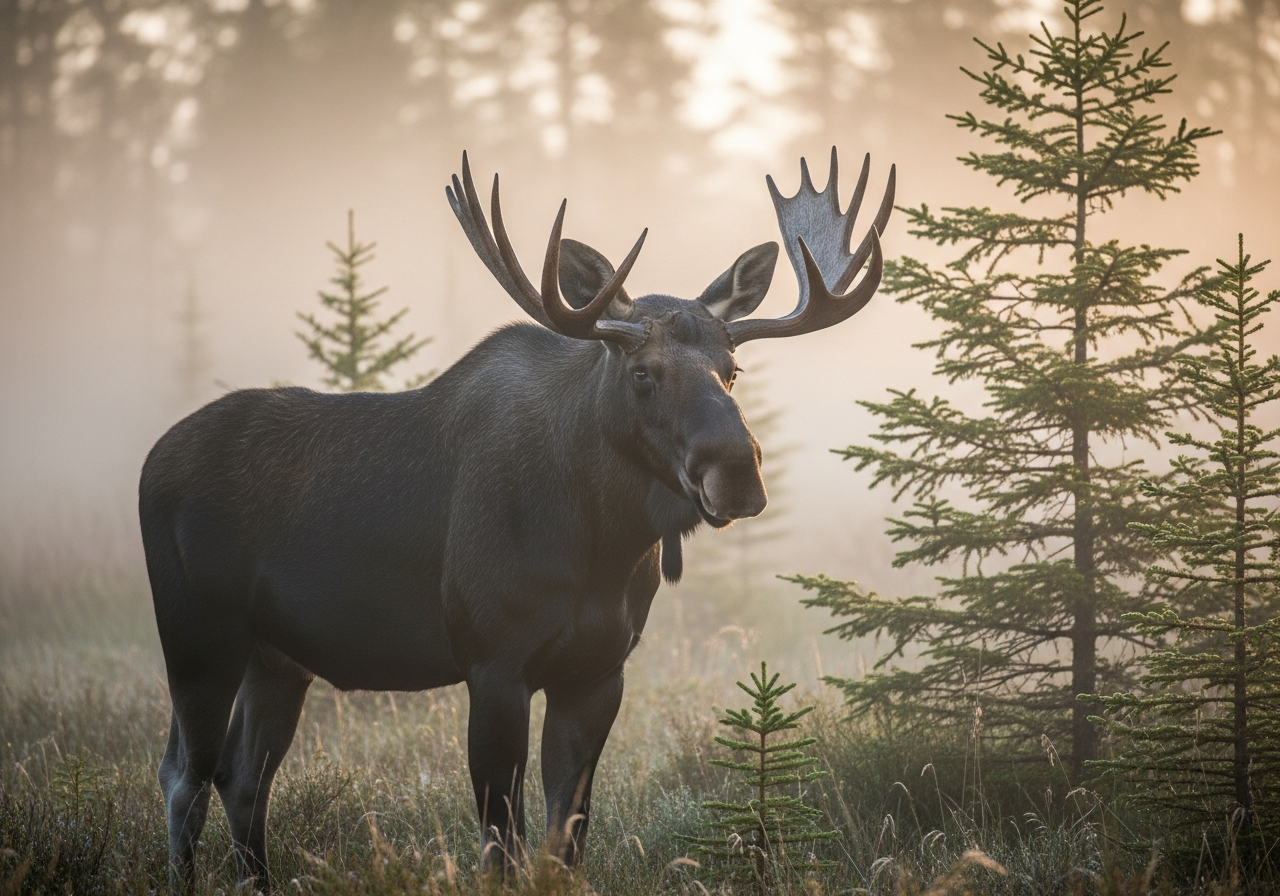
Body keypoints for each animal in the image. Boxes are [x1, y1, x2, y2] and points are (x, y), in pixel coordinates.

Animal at [139, 147, 893, 890]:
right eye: (642, 372)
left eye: (732, 368)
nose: (736, 469)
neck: (603, 547)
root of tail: (151, 461)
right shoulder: (492, 660)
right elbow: (502, 845)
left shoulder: (597, 670)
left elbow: (566, 840)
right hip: (199, 634)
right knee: (183, 775)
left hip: (277, 657)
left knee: (242, 779)